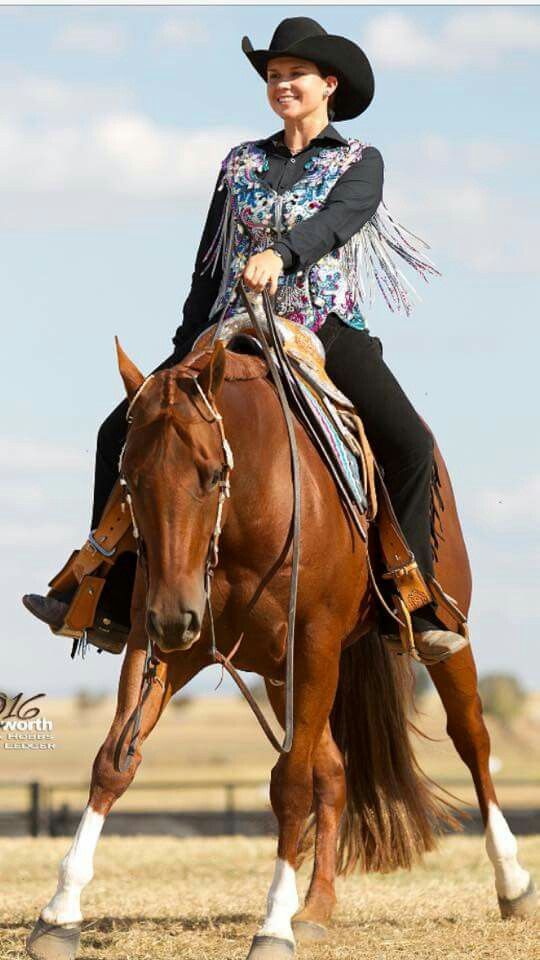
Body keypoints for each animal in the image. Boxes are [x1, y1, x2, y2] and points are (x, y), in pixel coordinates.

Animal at [28, 336, 536, 960]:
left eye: (213, 473)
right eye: (128, 478)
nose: (175, 616)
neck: (248, 518)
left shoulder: (311, 646)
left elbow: (289, 784)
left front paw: (271, 926)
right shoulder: (161, 646)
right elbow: (113, 764)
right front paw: (59, 913)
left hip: (436, 639)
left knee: (472, 739)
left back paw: (511, 881)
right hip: (274, 675)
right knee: (335, 772)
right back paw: (314, 908)